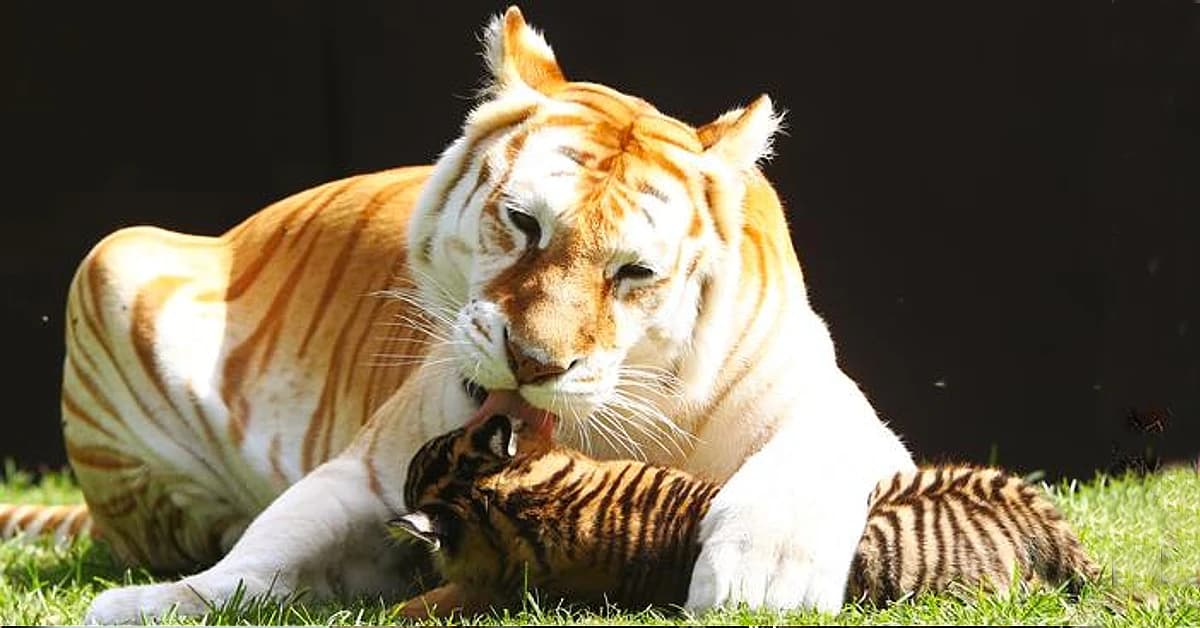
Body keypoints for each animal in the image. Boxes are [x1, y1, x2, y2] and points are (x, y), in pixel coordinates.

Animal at [14, 6, 912, 624]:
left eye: (633, 273)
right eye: (523, 223)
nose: (534, 362)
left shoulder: (840, 411)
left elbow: (810, 458)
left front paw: (764, 580)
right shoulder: (369, 471)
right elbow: (269, 546)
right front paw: (154, 604)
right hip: (114, 258)